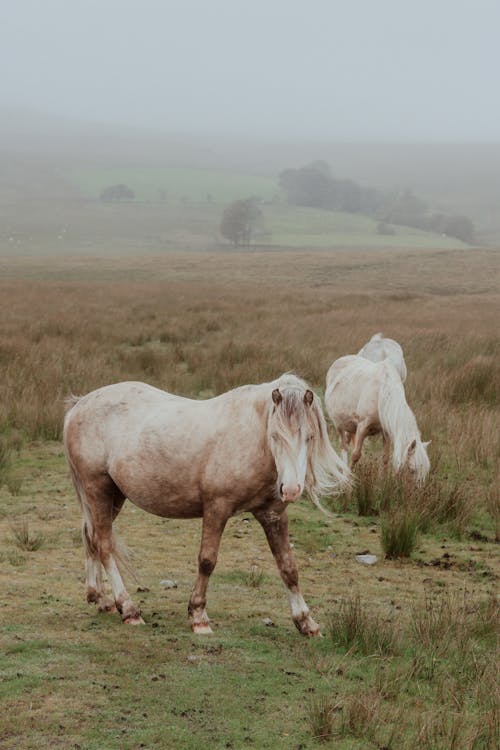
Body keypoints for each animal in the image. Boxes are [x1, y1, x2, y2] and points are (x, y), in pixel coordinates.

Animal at [62, 374, 350, 636]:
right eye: (275, 436)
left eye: (310, 437)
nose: (290, 489)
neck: (248, 438)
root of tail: (79, 405)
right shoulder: (216, 508)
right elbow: (207, 561)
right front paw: (198, 616)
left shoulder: (273, 514)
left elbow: (288, 567)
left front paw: (306, 622)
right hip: (97, 489)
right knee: (104, 546)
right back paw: (128, 609)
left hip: (113, 496)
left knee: (91, 538)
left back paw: (102, 599)